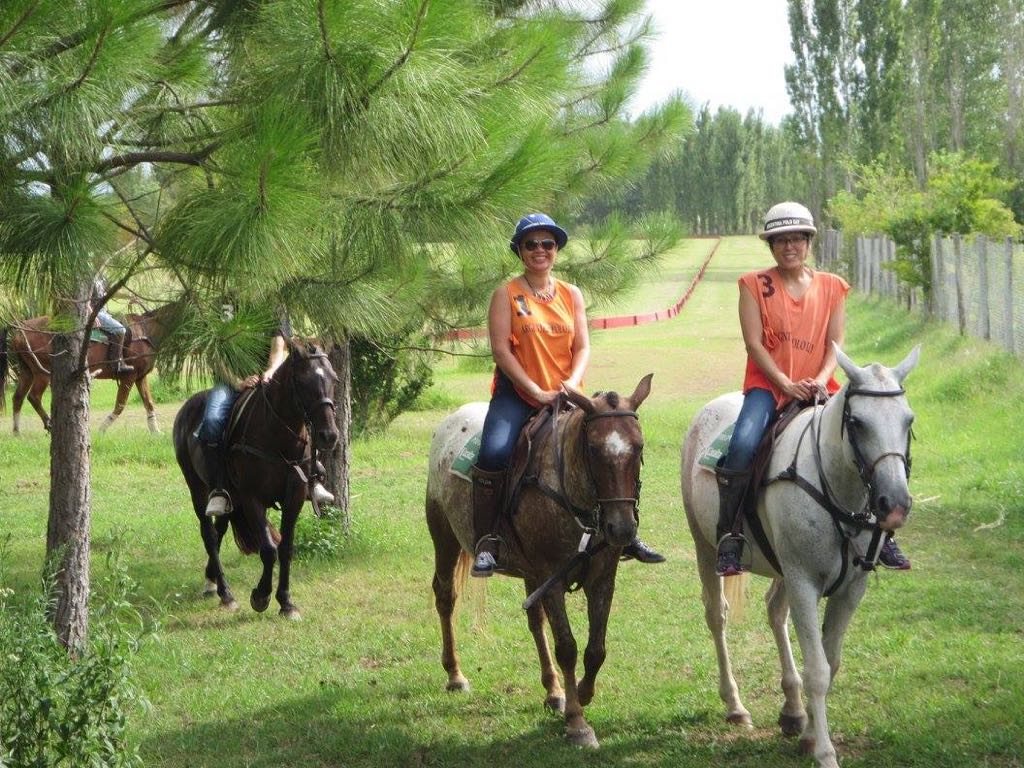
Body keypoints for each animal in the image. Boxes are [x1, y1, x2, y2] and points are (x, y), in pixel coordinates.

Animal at [0, 305, 176, 438]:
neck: (145, 330)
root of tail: (21, 328)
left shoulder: (140, 377)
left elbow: (149, 403)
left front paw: (156, 431)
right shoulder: (129, 377)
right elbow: (120, 405)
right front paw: (103, 429)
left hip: (26, 372)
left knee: (18, 398)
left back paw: (17, 432)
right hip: (42, 373)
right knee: (33, 397)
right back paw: (49, 425)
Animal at [173, 339, 339, 622]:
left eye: (334, 379)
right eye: (303, 381)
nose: (329, 435)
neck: (277, 436)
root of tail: (187, 408)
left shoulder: (295, 497)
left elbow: (286, 548)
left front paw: (287, 603)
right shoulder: (252, 498)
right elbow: (269, 549)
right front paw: (261, 597)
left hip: (230, 498)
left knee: (219, 531)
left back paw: (212, 581)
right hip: (197, 488)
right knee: (209, 535)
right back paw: (226, 594)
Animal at [425, 376, 651, 749]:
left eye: (639, 447)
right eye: (593, 450)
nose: (621, 528)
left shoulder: (602, 577)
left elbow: (596, 649)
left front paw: (582, 693)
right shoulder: (552, 576)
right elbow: (568, 647)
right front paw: (577, 723)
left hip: (530, 573)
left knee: (535, 622)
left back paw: (554, 691)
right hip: (444, 536)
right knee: (445, 597)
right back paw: (455, 674)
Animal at [679, 348, 921, 768]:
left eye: (908, 420)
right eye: (857, 423)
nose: (894, 504)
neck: (836, 489)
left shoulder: (850, 589)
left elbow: (830, 661)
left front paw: (808, 732)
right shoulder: (805, 582)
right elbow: (819, 671)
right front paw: (824, 751)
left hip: (782, 568)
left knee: (775, 610)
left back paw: (792, 710)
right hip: (705, 546)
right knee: (716, 615)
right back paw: (735, 705)